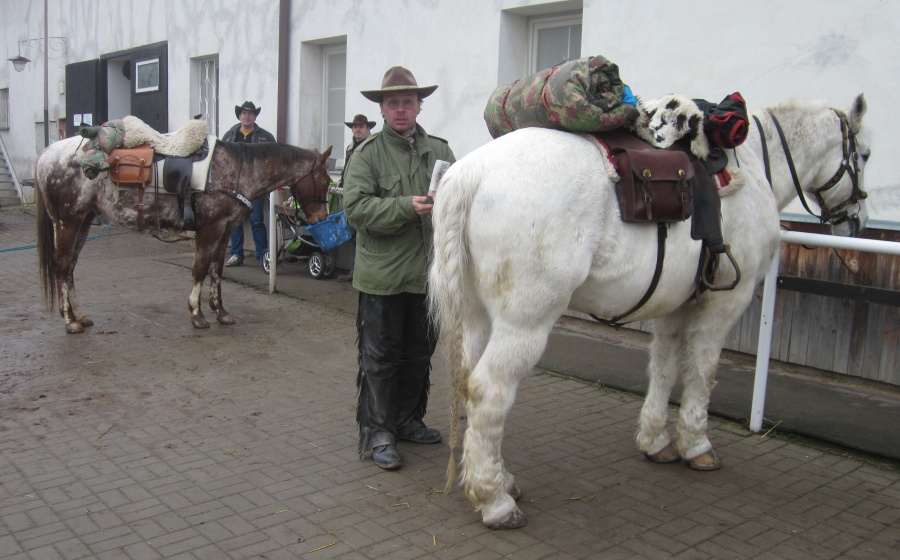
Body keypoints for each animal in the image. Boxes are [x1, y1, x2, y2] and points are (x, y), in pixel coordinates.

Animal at [35, 140, 332, 332]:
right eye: (326, 180)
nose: (321, 218)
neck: (236, 170)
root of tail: (47, 154)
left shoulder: (225, 229)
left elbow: (216, 270)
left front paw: (220, 312)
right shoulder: (210, 228)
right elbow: (200, 268)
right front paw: (197, 314)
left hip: (83, 221)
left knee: (70, 267)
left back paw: (79, 315)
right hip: (67, 222)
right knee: (61, 266)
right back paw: (69, 320)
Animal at [428, 94, 872, 528]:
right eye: (864, 155)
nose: (856, 222)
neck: (755, 166)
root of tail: (471, 173)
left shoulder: (673, 305)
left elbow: (665, 369)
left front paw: (656, 440)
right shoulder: (726, 302)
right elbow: (703, 372)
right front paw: (696, 444)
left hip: (477, 316)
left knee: (468, 382)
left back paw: (499, 478)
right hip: (525, 322)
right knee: (488, 391)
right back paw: (494, 500)